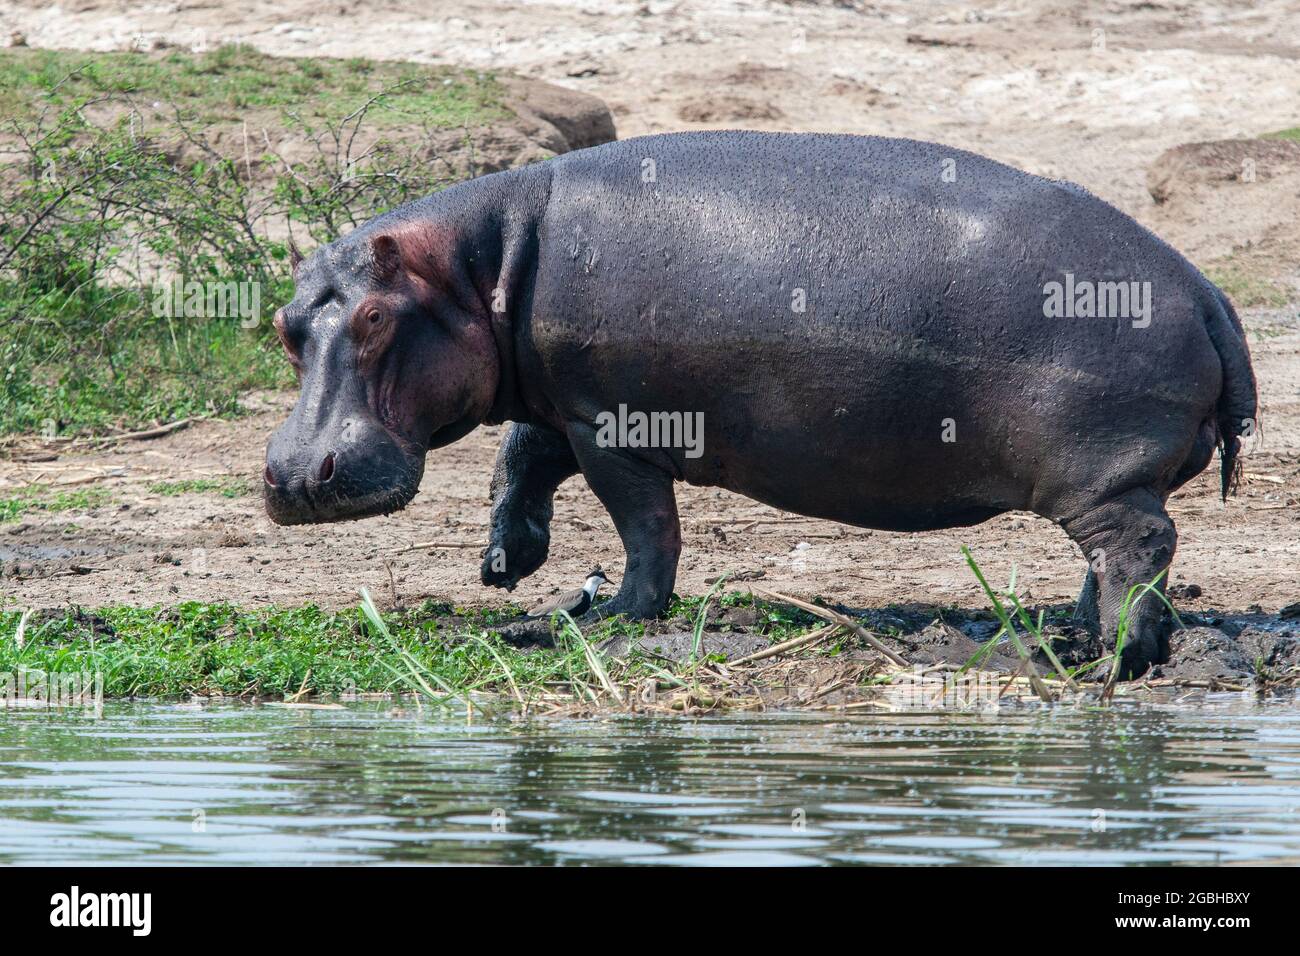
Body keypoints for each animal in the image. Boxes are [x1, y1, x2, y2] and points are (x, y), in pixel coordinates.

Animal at [258, 130, 1253, 676]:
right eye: (281, 324)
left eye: (377, 317)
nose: (298, 476)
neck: (478, 266)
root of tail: (1208, 291)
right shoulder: (563, 399)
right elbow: (523, 458)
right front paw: (506, 567)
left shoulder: (610, 422)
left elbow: (644, 525)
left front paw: (611, 614)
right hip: (1112, 478)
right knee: (1115, 559)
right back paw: (1079, 639)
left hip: (1100, 476)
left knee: (1139, 546)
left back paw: (1115, 656)